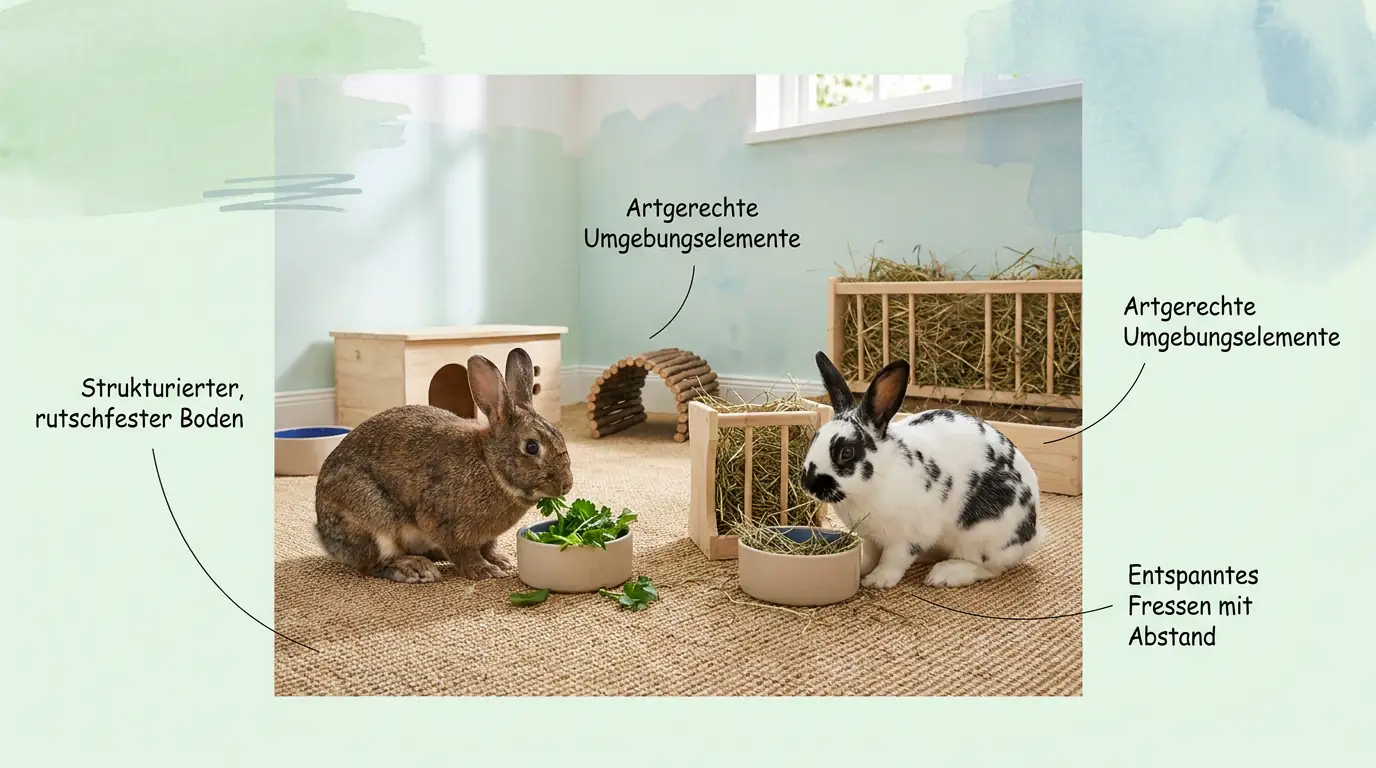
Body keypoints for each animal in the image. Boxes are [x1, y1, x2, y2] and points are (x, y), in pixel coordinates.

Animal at [313, 347, 574, 584]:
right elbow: (464, 552)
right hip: (373, 521)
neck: (490, 466)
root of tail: (324, 537)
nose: (567, 485)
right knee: (372, 564)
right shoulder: (444, 522)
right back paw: (414, 568)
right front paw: (484, 570)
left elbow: (488, 547)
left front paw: (501, 561)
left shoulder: (485, 536)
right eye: (532, 447)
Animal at [801, 351, 1045, 589]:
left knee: (989, 568)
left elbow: (893, 560)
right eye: (815, 438)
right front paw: (861, 569)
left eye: (847, 452)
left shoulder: (907, 537)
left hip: (981, 536)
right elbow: (870, 556)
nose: (809, 485)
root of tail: (1033, 535)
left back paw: (944, 575)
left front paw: (877, 580)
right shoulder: (870, 537)